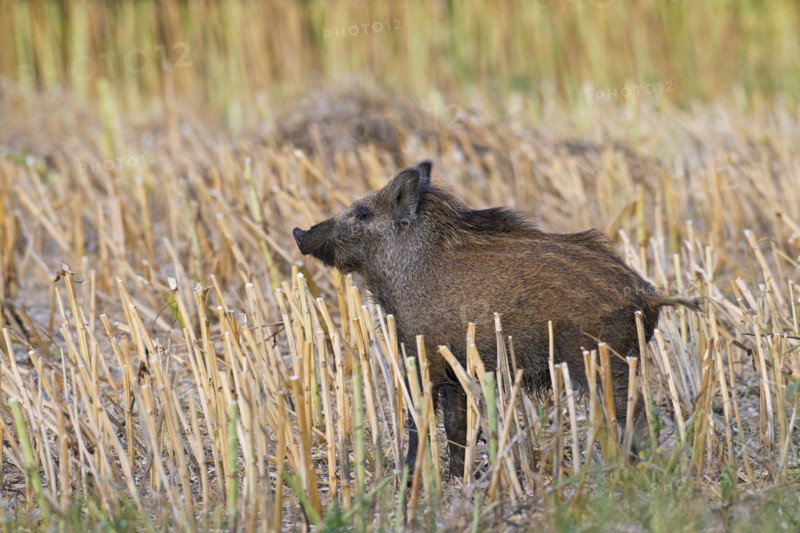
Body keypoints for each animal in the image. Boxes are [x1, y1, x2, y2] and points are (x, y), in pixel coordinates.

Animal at [292, 160, 700, 477]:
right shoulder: (455, 369)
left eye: (362, 212)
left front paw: (409, 480)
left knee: (636, 416)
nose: (299, 232)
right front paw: (457, 478)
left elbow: (417, 419)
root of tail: (647, 293)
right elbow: (456, 426)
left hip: (602, 361)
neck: (403, 269)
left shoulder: (421, 357)